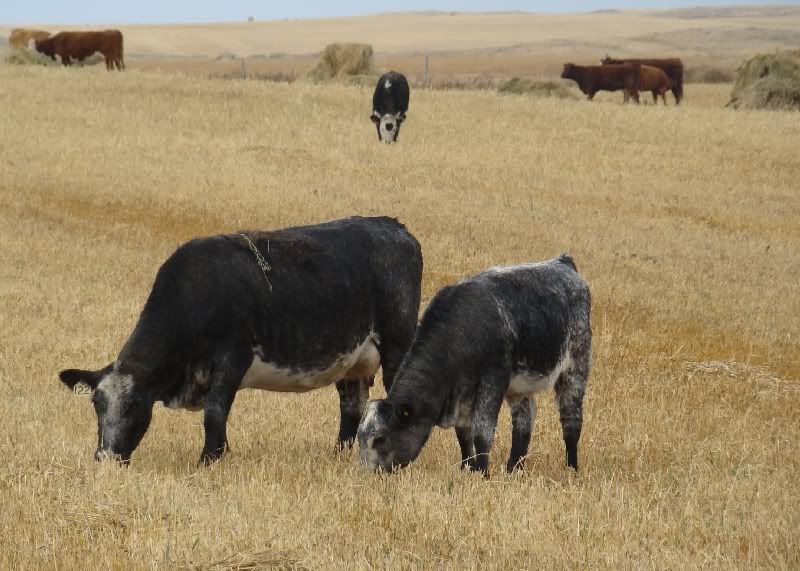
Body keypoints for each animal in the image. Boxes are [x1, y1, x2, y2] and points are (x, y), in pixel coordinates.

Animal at [58, 216, 423, 466]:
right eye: (96, 404)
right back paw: (339, 453)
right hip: (353, 359)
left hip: (397, 345)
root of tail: (391, 225)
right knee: (351, 407)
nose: (105, 457)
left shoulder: (232, 359)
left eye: (134, 406)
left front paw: (209, 460)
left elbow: (214, 413)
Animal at [358, 254, 592, 478]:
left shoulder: (492, 383)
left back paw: (572, 469)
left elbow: (482, 434)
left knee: (571, 420)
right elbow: (464, 435)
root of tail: (563, 263)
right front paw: (468, 468)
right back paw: (513, 469)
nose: (365, 474)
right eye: (360, 437)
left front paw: (483, 473)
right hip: (520, 389)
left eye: (380, 438)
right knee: (523, 424)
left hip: (575, 369)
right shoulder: (463, 396)